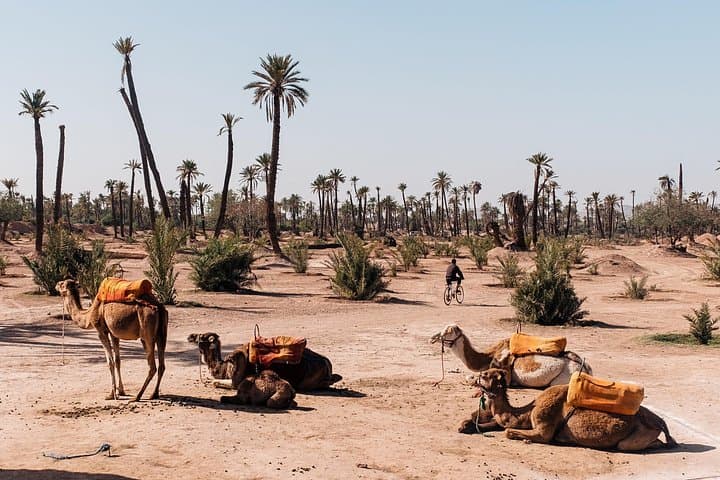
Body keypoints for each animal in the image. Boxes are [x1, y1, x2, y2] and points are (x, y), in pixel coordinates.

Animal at [187, 332, 342, 391]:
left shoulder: (236, 381)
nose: (189, 336)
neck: (224, 366)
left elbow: (215, 382)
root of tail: (328, 365)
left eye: (202, 336)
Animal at [430, 324, 591, 388]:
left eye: (448, 332)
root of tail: (586, 368)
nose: (432, 338)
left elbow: (471, 378)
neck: (488, 357)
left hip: (562, 379)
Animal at [469, 368, 677, 451]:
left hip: (638, 436)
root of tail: (660, 422)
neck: (527, 412)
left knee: (630, 445)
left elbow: (508, 432)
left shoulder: (543, 428)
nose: (472, 377)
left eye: (485, 375)